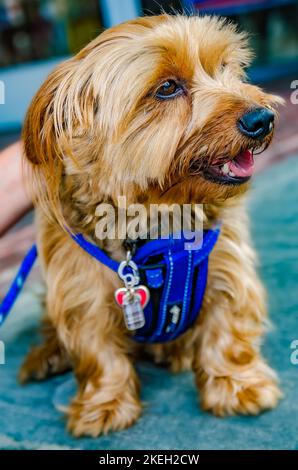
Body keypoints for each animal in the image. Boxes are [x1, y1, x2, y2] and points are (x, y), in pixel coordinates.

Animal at [20, 12, 282, 436]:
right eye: (167, 88)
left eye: (226, 68)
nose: (263, 118)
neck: (155, 218)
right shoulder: (82, 287)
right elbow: (98, 351)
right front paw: (104, 403)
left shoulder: (226, 264)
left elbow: (228, 328)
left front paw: (237, 385)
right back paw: (45, 355)